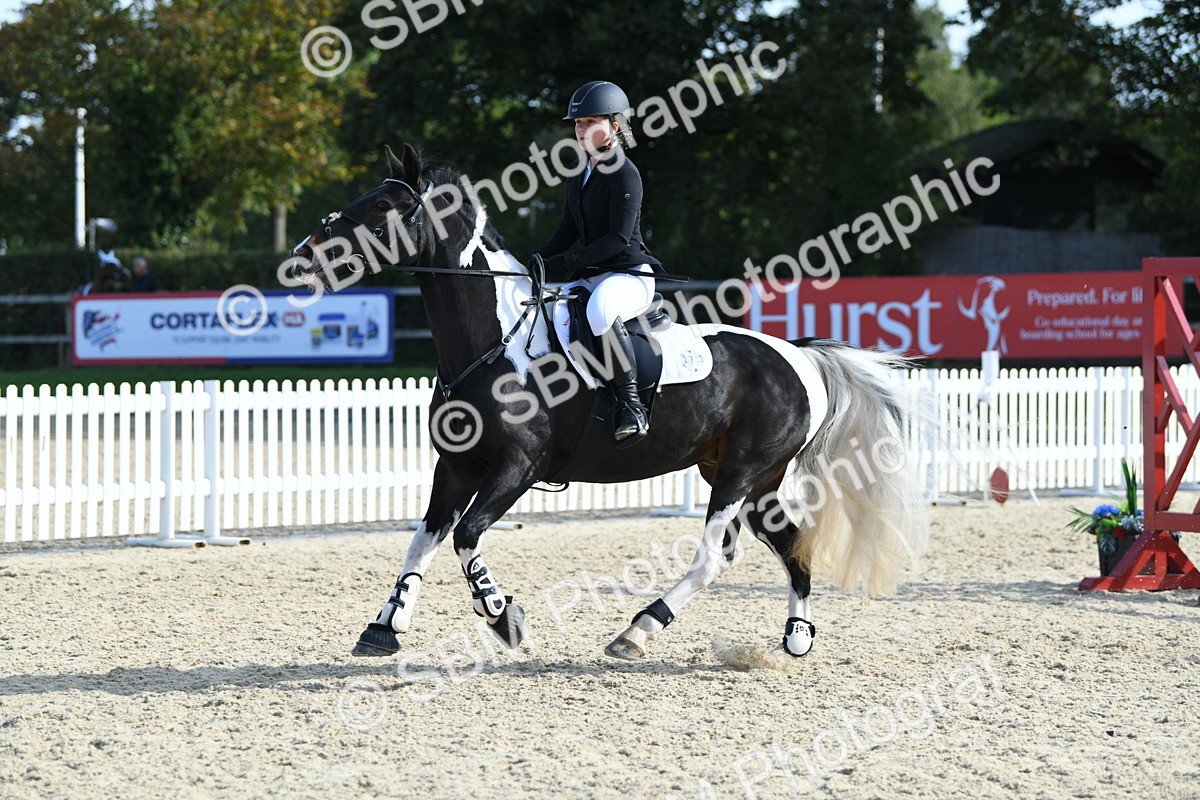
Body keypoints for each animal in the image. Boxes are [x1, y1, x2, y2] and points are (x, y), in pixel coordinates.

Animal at [291, 144, 928, 661]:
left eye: (382, 206)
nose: (301, 257)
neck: (491, 343)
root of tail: (796, 354)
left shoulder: (518, 467)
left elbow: (468, 537)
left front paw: (503, 617)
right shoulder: (457, 465)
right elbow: (424, 539)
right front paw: (385, 626)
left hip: (741, 475)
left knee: (714, 556)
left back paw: (638, 630)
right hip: (749, 478)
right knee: (790, 541)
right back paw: (795, 638)